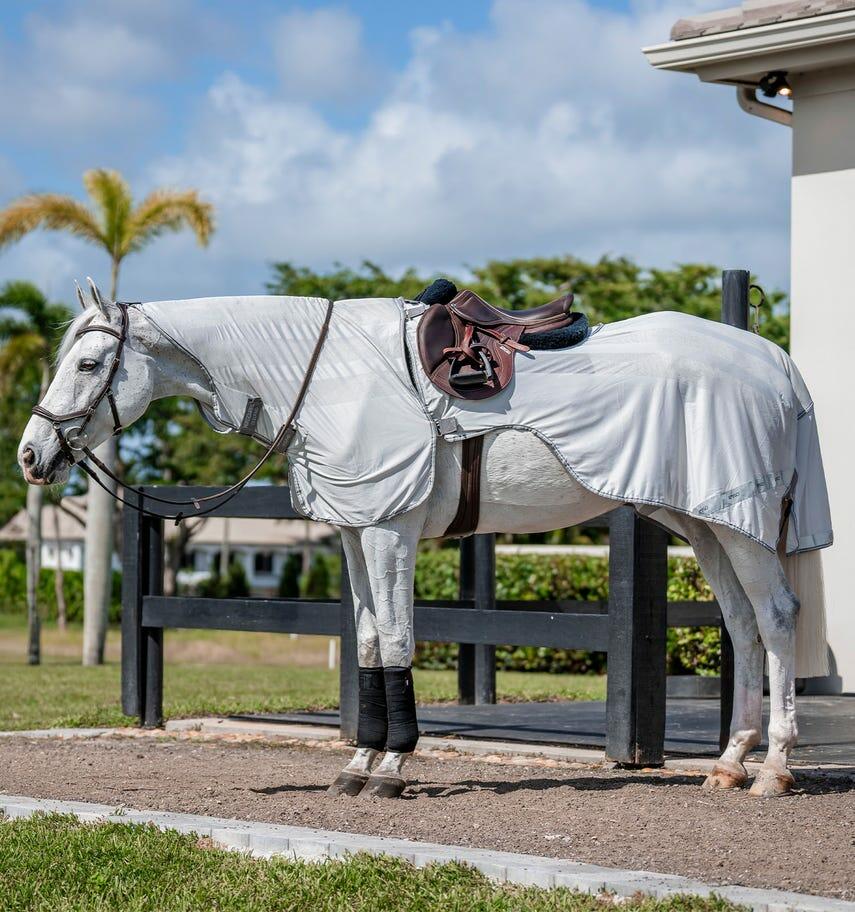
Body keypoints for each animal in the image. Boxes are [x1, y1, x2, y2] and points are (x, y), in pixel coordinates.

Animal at [18, 279, 832, 800]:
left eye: (88, 363)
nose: (30, 455)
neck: (327, 376)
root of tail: (772, 360)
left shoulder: (389, 529)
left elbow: (400, 641)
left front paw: (391, 767)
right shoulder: (355, 530)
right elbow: (371, 643)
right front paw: (359, 764)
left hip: (739, 528)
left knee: (775, 620)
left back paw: (771, 770)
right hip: (707, 526)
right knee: (742, 625)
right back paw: (728, 764)